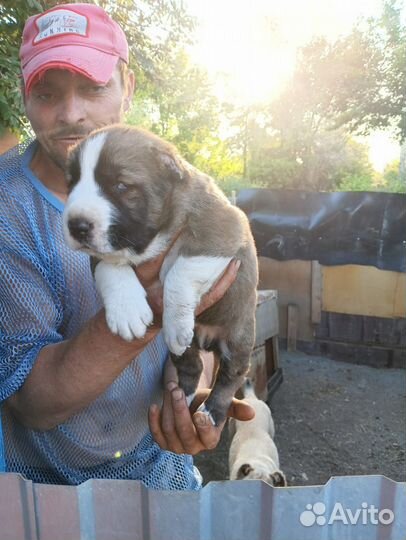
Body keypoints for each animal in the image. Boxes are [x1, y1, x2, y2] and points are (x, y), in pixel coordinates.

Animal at [64, 125, 260, 426]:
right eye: (71, 183)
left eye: (121, 186)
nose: (76, 226)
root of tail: (207, 339)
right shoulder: (100, 253)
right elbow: (110, 268)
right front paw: (127, 312)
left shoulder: (223, 228)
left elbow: (180, 271)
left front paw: (176, 322)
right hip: (185, 352)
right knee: (192, 366)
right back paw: (181, 399)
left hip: (238, 336)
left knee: (232, 375)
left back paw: (212, 411)